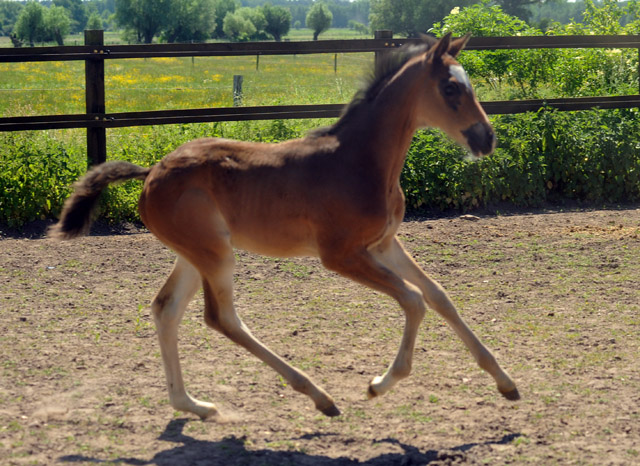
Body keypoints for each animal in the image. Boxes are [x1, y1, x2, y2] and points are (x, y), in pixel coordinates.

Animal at [50, 32, 520, 418]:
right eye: (450, 88)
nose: (486, 139)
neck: (358, 161)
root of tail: (150, 173)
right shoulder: (341, 255)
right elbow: (413, 300)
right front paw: (379, 384)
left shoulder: (385, 244)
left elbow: (439, 296)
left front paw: (506, 382)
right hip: (215, 253)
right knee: (221, 318)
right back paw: (318, 396)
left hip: (194, 254)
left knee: (166, 308)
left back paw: (194, 405)